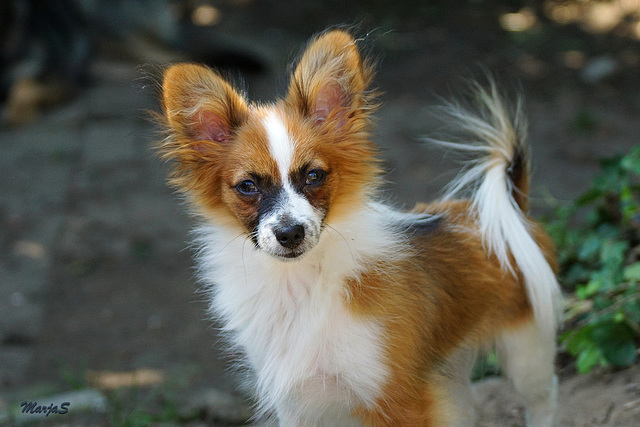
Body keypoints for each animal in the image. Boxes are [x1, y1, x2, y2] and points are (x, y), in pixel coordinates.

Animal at [158, 28, 564, 426]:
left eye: (314, 175)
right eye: (247, 186)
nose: (290, 233)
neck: (300, 284)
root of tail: (511, 207)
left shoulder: (399, 399)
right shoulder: (300, 406)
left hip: (526, 350)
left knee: (543, 401)